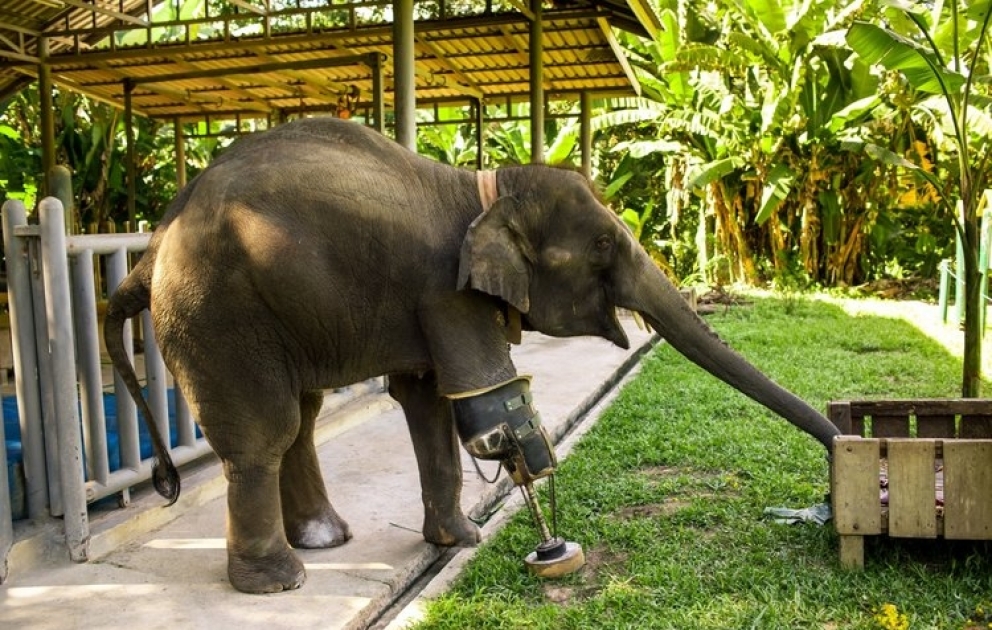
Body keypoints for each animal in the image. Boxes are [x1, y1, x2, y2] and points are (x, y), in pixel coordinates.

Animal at [104, 116, 840, 594]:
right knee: (267, 430)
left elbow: (430, 401)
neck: (485, 188)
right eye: (604, 245)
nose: (832, 480)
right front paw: (521, 491)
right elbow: (484, 398)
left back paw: (324, 540)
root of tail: (153, 244)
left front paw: (462, 542)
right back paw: (279, 581)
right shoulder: (447, 292)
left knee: (302, 417)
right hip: (219, 313)